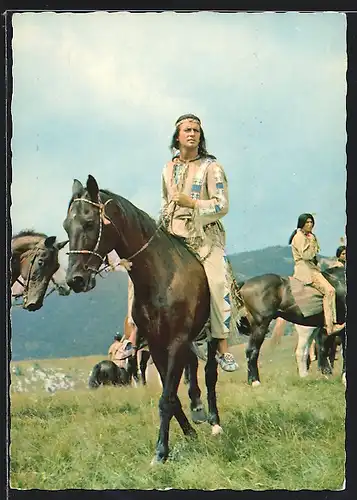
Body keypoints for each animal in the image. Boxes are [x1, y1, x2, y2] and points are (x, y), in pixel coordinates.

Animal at [62, 176, 221, 464]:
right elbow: (171, 396)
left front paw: (160, 452)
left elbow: (167, 397)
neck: (160, 277)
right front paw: (188, 434)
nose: (75, 280)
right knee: (193, 370)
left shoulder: (176, 342)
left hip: (211, 336)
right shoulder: (158, 346)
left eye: (89, 222)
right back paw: (198, 409)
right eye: (66, 226)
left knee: (210, 374)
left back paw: (215, 421)